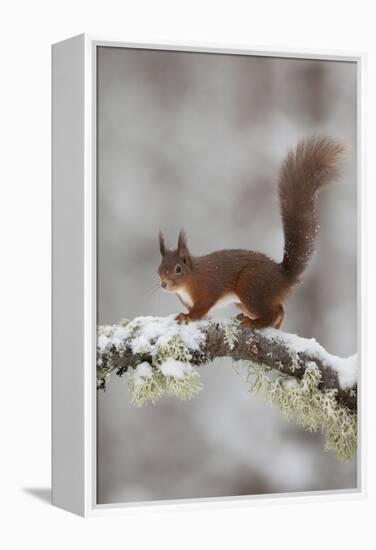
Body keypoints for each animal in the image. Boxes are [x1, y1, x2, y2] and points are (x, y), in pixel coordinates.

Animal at [156, 137, 344, 328]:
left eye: (178, 269)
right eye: (159, 268)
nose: (163, 284)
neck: (189, 279)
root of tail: (283, 277)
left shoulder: (207, 289)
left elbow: (201, 308)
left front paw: (187, 317)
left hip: (250, 286)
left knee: (272, 312)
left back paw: (254, 323)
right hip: (244, 299)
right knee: (279, 309)